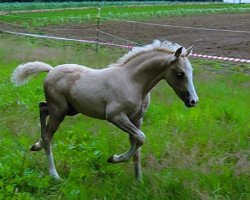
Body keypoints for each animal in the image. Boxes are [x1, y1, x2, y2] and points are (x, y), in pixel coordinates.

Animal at [11, 39, 199, 180]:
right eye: (180, 73)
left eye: (191, 72)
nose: (193, 101)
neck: (133, 82)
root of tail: (51, 71)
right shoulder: (116, 116)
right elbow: (140, 138)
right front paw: (114, 158)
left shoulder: (137, 119)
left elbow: (137, 147)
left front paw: (138, 181)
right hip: (59, 111)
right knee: (49, 136)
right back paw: (54, 175)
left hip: (68, 109)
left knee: (42, 108)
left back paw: (36, 145)